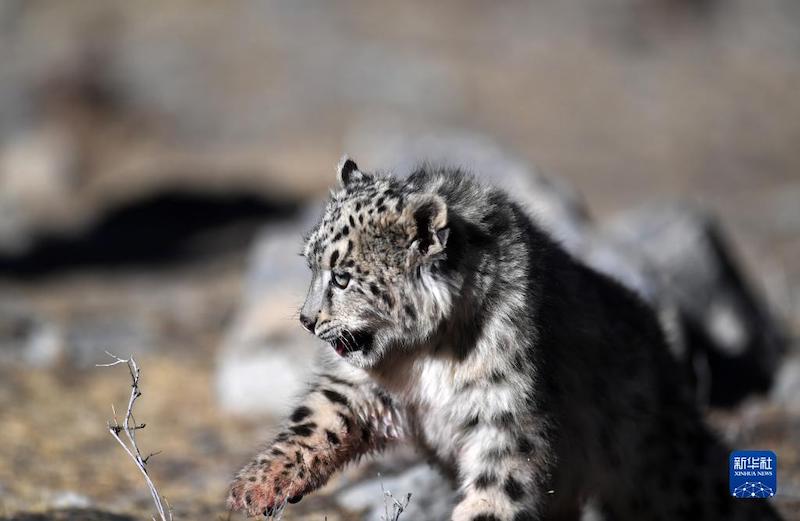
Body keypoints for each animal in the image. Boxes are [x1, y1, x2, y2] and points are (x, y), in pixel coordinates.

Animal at [227, 157, 780, 520]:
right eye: (310, 265)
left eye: (342, 277)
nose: (305, 319)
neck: (423, 358)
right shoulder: (360, 388)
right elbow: (313, 423)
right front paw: (257, 487)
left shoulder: (506, 418)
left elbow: (497, 489)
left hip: (660, 462)